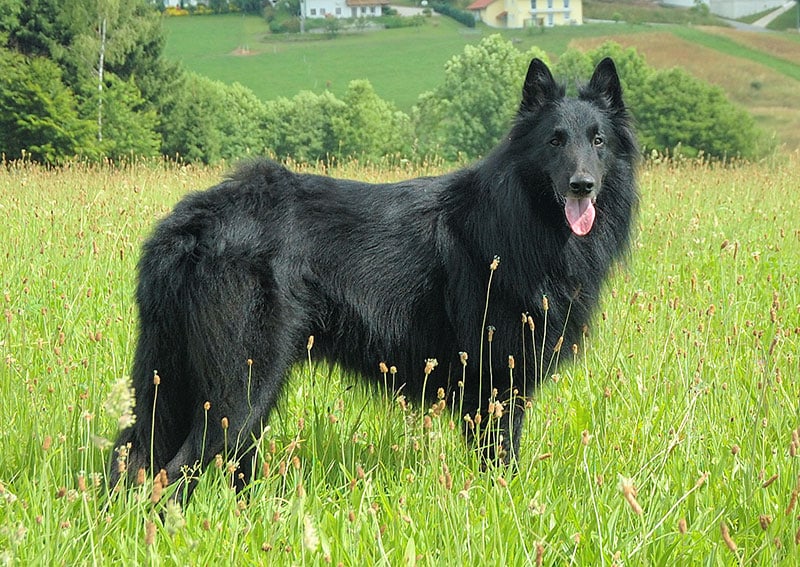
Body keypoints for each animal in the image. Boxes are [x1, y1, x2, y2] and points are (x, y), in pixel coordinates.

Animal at [111, 57, 636, 496]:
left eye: (598, 141)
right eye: (554, 140)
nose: (582, 185)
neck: (517, 218)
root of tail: (190, 223)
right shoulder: (497, 387)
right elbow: (501, 461)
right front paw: (502, 505)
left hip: (176, 382)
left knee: (133, 456)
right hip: (240, 390)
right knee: (173, 471)